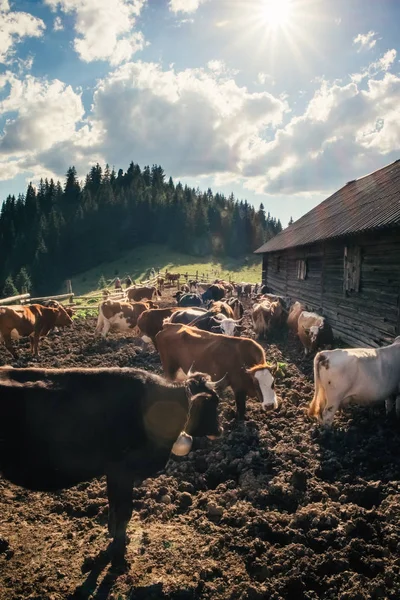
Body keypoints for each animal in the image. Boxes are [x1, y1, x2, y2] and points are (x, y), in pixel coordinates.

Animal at [0, 366, 222, 564]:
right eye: (212, 403)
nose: (220, 430)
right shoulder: (122, 470)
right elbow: (124, 509)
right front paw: (118, 550)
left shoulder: (114, 472)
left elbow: (114, 505)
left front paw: (115, 535)